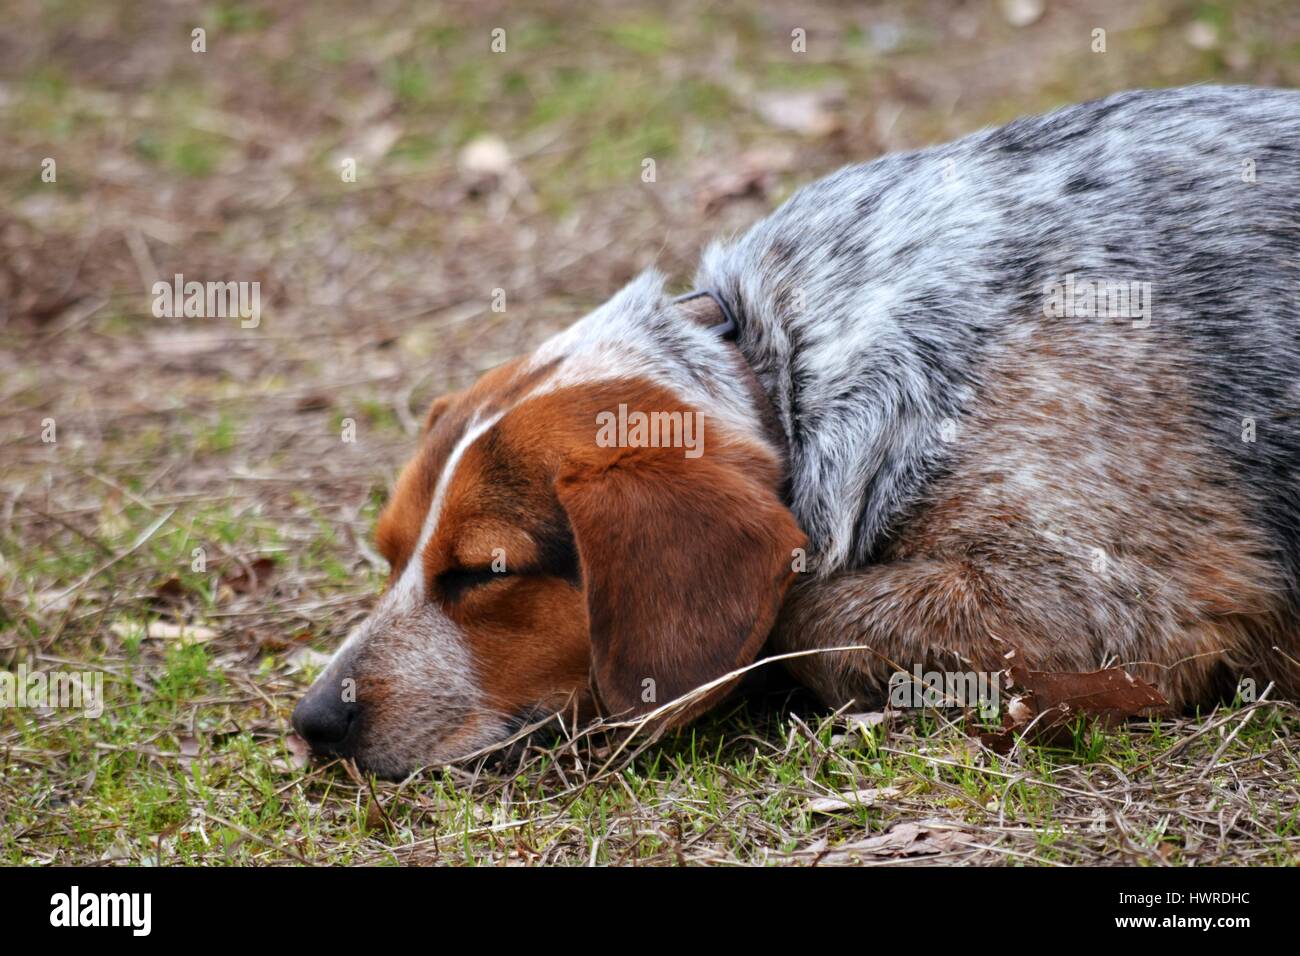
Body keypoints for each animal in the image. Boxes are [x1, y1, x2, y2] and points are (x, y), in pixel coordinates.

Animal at [292, 87, 1300, 780]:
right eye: (389, 555)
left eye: (484, 572)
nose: (311, 722)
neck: (785, 363)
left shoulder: (1110, 601)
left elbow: (806, 616)